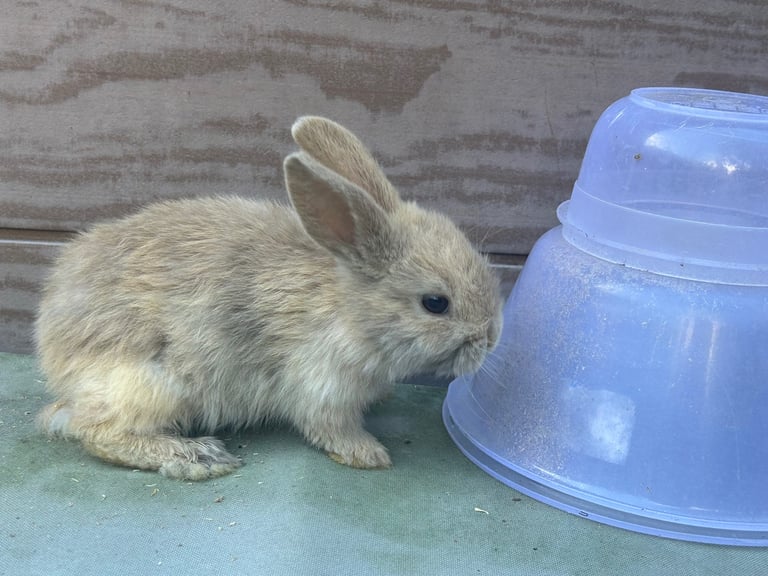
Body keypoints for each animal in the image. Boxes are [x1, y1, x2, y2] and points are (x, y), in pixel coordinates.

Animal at [35, 116, 503, 480]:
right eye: (436, 303)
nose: (492, 338)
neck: (350, 306)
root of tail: (54, 354)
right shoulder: (323, 385)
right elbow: (331, 427)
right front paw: (369, 455)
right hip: (151, 385)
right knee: (96, 432)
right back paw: (197, 457)